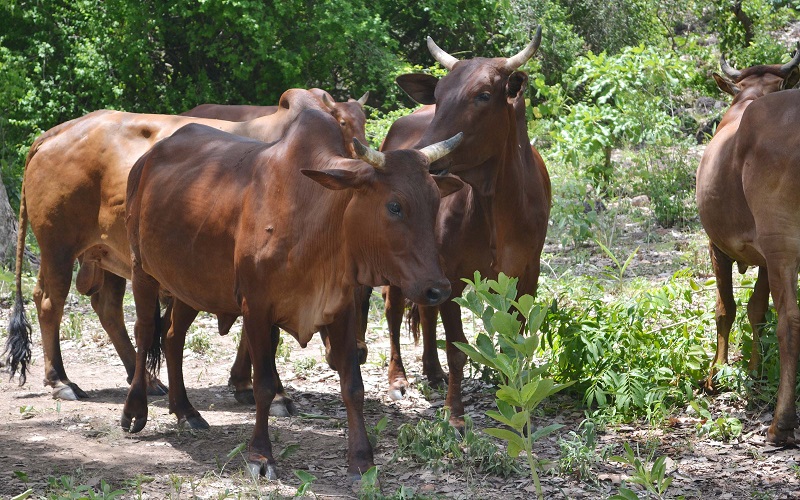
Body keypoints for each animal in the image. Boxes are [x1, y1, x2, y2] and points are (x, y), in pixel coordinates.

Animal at [5, 88, 344, 412]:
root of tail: (57, 131)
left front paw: (245, 385)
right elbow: (266, 335)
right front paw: (275, 395)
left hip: (106, 253)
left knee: (105, 308)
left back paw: (144, 378)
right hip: (58, 247)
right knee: (50, 304)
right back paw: (61, 380)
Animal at [123, 110, 462, 480]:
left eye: (435, 203)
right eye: (395, 206)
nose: (438, 288)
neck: (316, 217)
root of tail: (146, 158)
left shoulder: (340, 308)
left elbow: (352, 386)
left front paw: (361, 457)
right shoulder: (256, 308)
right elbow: (263, 385)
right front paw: (260, 456)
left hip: (190, 283)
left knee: (172, 336)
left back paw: (185, 411)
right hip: (142, 269)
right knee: (144, 331)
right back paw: (135, 410)